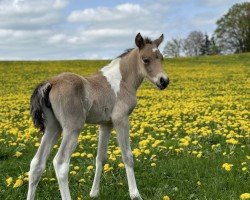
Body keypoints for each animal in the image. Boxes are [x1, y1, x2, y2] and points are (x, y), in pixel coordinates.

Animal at [27, 33, 170, 200]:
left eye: (161, 58)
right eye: (145, 59)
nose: (164, 81)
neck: (121, 81)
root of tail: (51, 82)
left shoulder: (105, 124)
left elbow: (100, 157)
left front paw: (94, 193)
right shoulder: (121, 120)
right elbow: (127, 156)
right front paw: (135, 194)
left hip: (53, 128)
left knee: (36, 163)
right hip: (72, 128)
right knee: (61, 163)